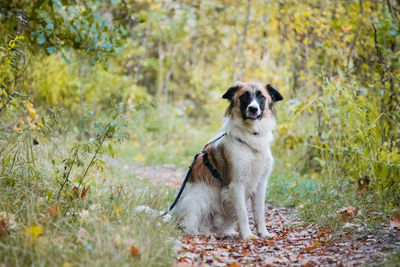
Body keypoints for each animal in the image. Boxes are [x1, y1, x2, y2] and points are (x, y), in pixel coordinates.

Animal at [169, 81, 282, 241]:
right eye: (245, 96)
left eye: (261, 96)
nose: (253, 109)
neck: (250, 138)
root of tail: (171, 215)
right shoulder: (236, 185)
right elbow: (243, 213)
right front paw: (248, 235)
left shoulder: (261, 183)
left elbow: (259, 213)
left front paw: (263, 233)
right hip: (196, 201)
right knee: (190, 227)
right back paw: (204, 234)